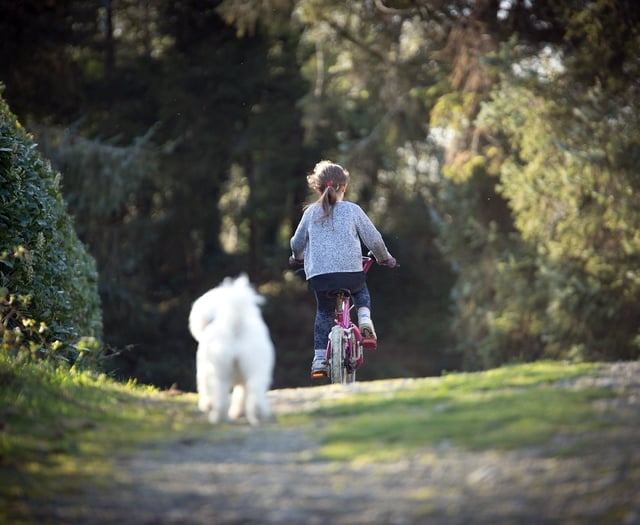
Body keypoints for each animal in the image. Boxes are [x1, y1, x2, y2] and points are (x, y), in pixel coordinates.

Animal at [186, 274, 274, 426]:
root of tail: (235, 324)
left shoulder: (203, 371)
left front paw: (206, 405)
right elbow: (241, 395)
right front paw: (238, 412)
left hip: (220, 372)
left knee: (221, 398)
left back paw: (217, 417)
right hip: (254, 369)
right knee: (254, 393)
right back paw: (257, 415)